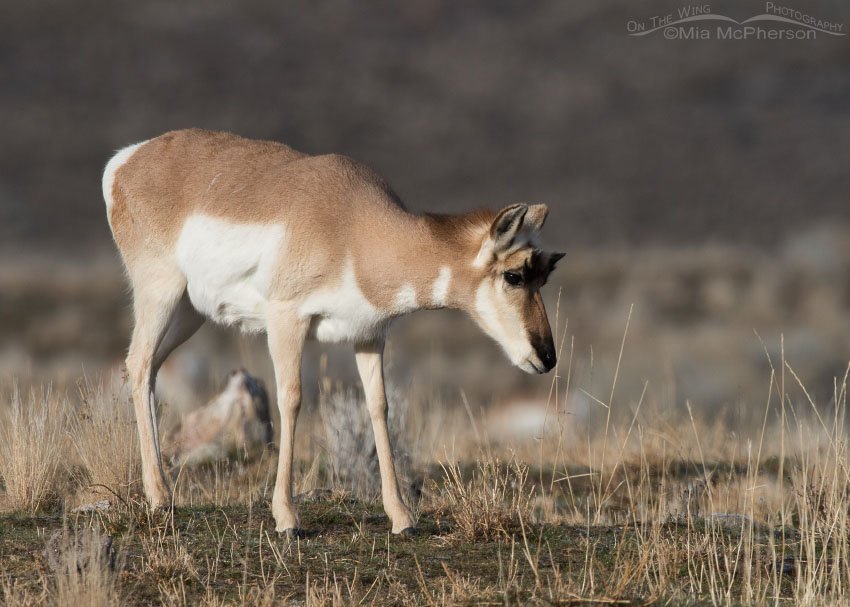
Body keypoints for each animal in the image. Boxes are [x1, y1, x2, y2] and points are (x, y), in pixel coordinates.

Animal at [103, 129, 563, 536]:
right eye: (514, 275)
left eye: (545, 274)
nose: (546, 357)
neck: (354, 227)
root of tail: (127, 159)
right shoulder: (286, 321)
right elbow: (292, 399)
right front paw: (287, 517)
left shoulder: (369, 336)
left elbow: (378, 406)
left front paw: (402, 517)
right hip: (161, 294)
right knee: (139, 364)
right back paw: (160, 497)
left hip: (188, 313)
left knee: (147, 369)